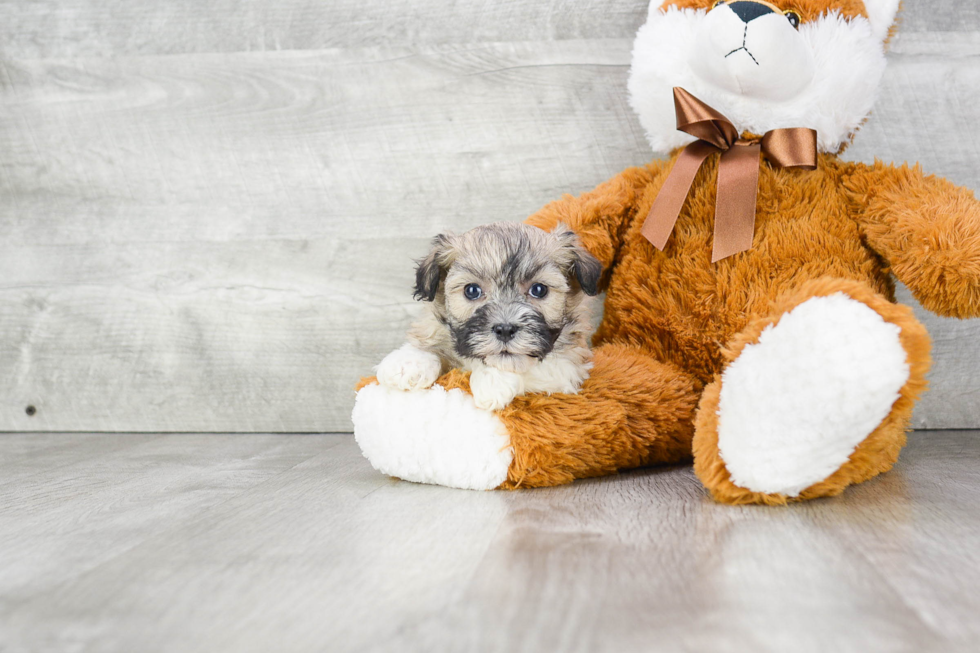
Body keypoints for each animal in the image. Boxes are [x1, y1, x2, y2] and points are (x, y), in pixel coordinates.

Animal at [378, 222, 600, 410]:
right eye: (472, 291)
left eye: (539, 289)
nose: (505, 329)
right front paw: (407, 363)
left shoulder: (570, 366)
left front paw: (493, 381)